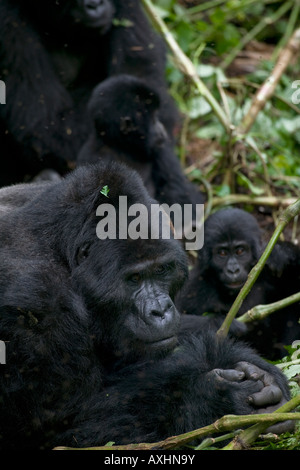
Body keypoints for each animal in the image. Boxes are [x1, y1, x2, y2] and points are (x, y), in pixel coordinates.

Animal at [77, 75, 204, 209]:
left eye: (156, 116)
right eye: (153, 119)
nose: (161, 129)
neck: (122, 148)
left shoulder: (159, 147)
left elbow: (175, 186)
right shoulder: (93, 156)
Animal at [176, 207, 300, 358]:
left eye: (240, 251)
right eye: (222, 253)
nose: (233, 270)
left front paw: (281, 252)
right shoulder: (193, 286)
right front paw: (221, 325)